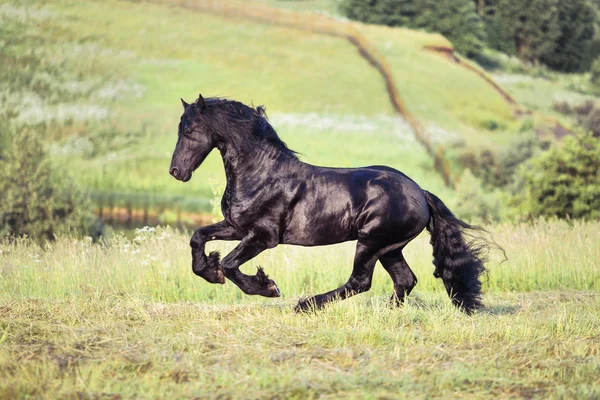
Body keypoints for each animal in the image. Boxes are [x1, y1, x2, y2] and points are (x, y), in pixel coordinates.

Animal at [169, 94, 488, 312]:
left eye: (190, 131)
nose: (176, 172)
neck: (261, 173)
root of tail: (420, 192)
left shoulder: (263, 237)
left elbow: (230, 263)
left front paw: (267, 287)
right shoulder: (236, 226)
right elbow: (198, 237)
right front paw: (210, 271)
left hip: (371, 242)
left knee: (361, 282)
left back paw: (306, 305)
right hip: (390, 248)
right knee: (404, 280)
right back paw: (389, 313)